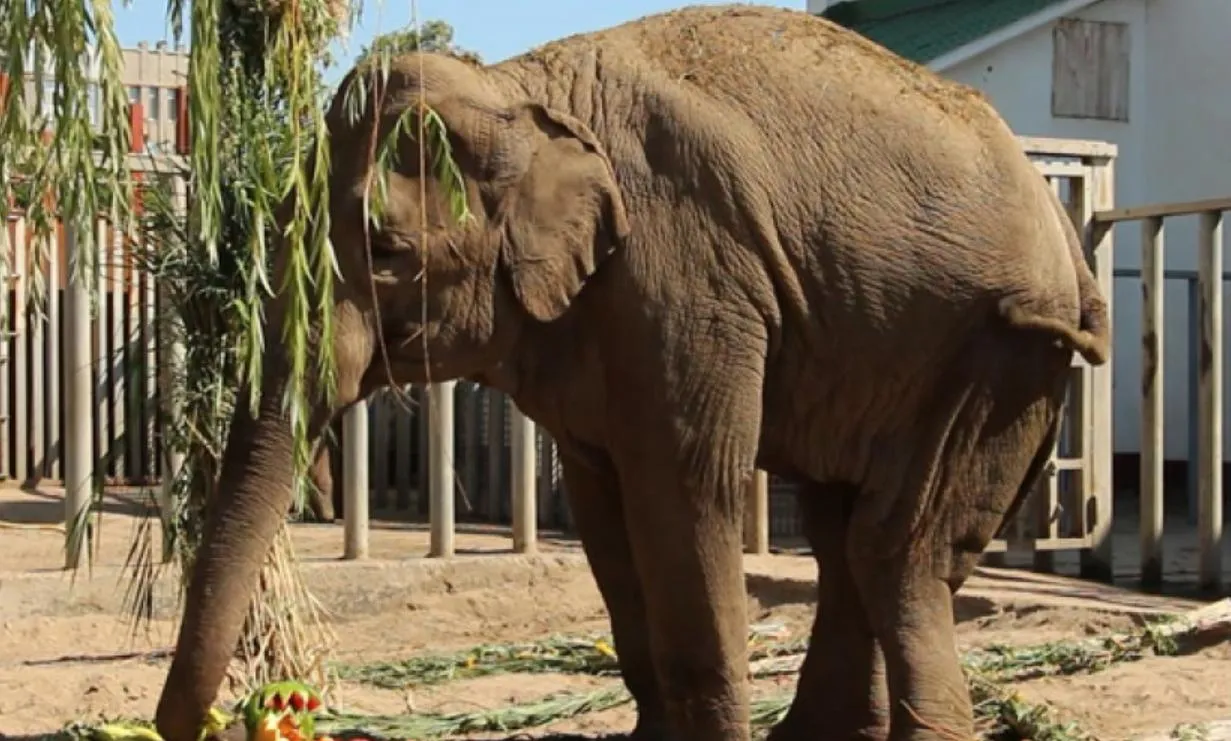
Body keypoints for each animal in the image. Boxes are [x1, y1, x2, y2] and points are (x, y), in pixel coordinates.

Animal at [148, 5, 1112, 738]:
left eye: (386, 252)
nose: (212, 720)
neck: (522, 91)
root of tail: (1059, 219)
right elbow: (603, 505)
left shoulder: (688, 279)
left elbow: (686, 491)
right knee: (846, 538)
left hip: (1006, 350)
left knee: (896, 550)